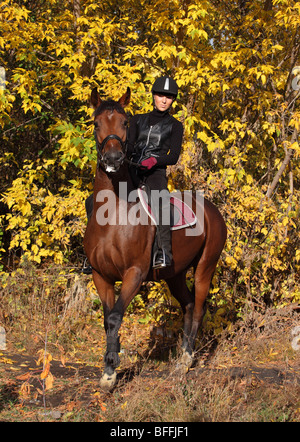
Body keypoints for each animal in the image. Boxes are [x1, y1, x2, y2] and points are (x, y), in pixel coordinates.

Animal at [83, 86, 226, 390]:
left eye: (125, 123)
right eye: (96, 123)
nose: (113, 160)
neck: (113, 214)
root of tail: (212, 210)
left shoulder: (134, 274)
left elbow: (116, 316)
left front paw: (111, 370)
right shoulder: (100, 275)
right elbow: (107, 319)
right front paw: (109, 369)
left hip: (205, 268)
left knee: (198, 307)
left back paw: (186, 361)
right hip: (175, 273)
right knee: (187, 305)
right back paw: (182, 356)